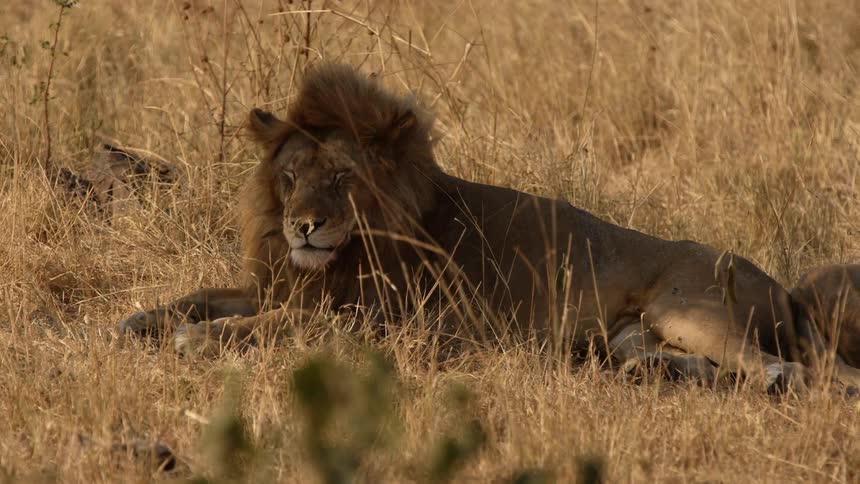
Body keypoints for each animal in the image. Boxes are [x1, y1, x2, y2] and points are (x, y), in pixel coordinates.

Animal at [118, 63, 860, 392]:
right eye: (292, 175)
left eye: (343, 178)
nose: (303, 226)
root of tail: (783, 287)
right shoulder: (288, 285)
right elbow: (200, 296)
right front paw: (136, 322)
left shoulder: (383, 323)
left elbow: (265, 326)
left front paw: (198, 339)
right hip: (633, 334)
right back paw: (656, 373)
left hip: (689, 310)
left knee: (799, 368)